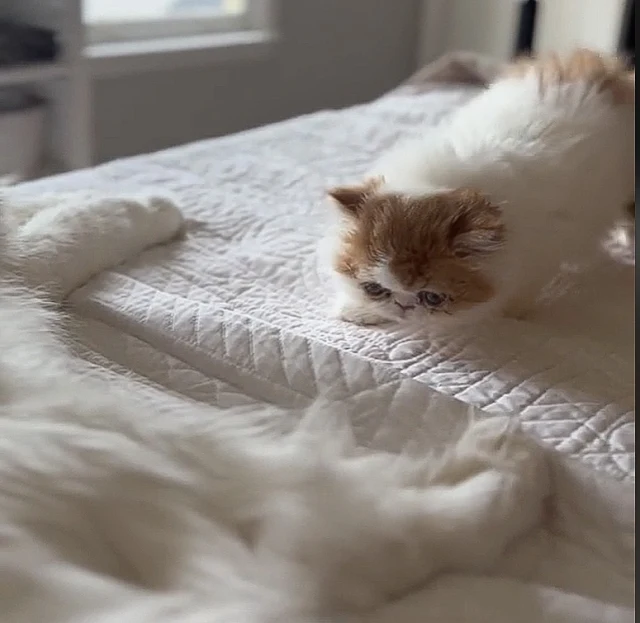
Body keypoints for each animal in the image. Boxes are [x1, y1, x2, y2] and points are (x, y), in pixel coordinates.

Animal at [324, 50, 636, 330]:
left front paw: (513, 311)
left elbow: (526, 285)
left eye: (432, 298)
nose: (402, 306)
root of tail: (609, 70)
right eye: (374, 289)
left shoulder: (548, 245)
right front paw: (360, 310)